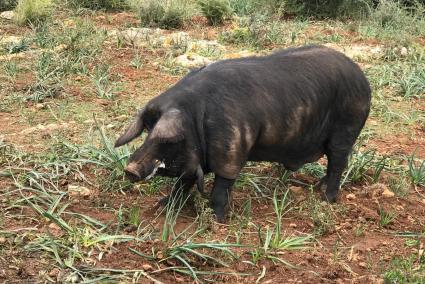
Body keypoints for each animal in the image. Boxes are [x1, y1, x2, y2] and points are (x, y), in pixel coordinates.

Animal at [114, 45, 370, 222]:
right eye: (147, 131)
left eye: (168, 139)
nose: (130, 169)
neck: (195, 117)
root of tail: (363, 81)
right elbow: (182, 184)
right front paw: (161, 206)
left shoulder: (232, 147)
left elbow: (221, 185)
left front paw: (216, 220)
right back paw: (317, 186)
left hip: (347, 127)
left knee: (338, 162)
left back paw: (326, 199)